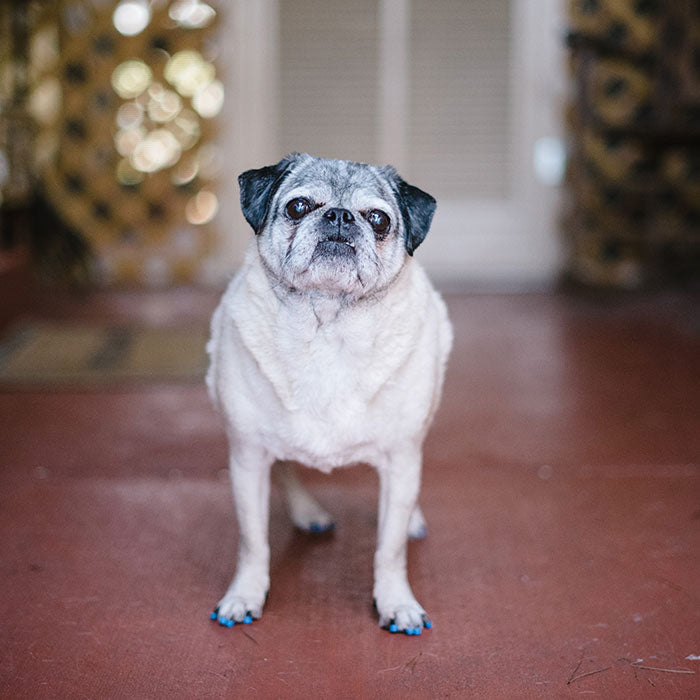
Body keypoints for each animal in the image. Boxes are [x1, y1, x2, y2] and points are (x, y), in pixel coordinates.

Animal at [205, 153, 452, 636]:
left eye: (378, 219)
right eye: (298, 207)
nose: (339, 217)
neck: (327, 326)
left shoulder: (401, 456)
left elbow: (390, 550)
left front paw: (396, 601)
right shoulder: (247, 456)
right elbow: (253, 542)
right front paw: (245, 594)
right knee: (285, 468)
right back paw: (307, 512)